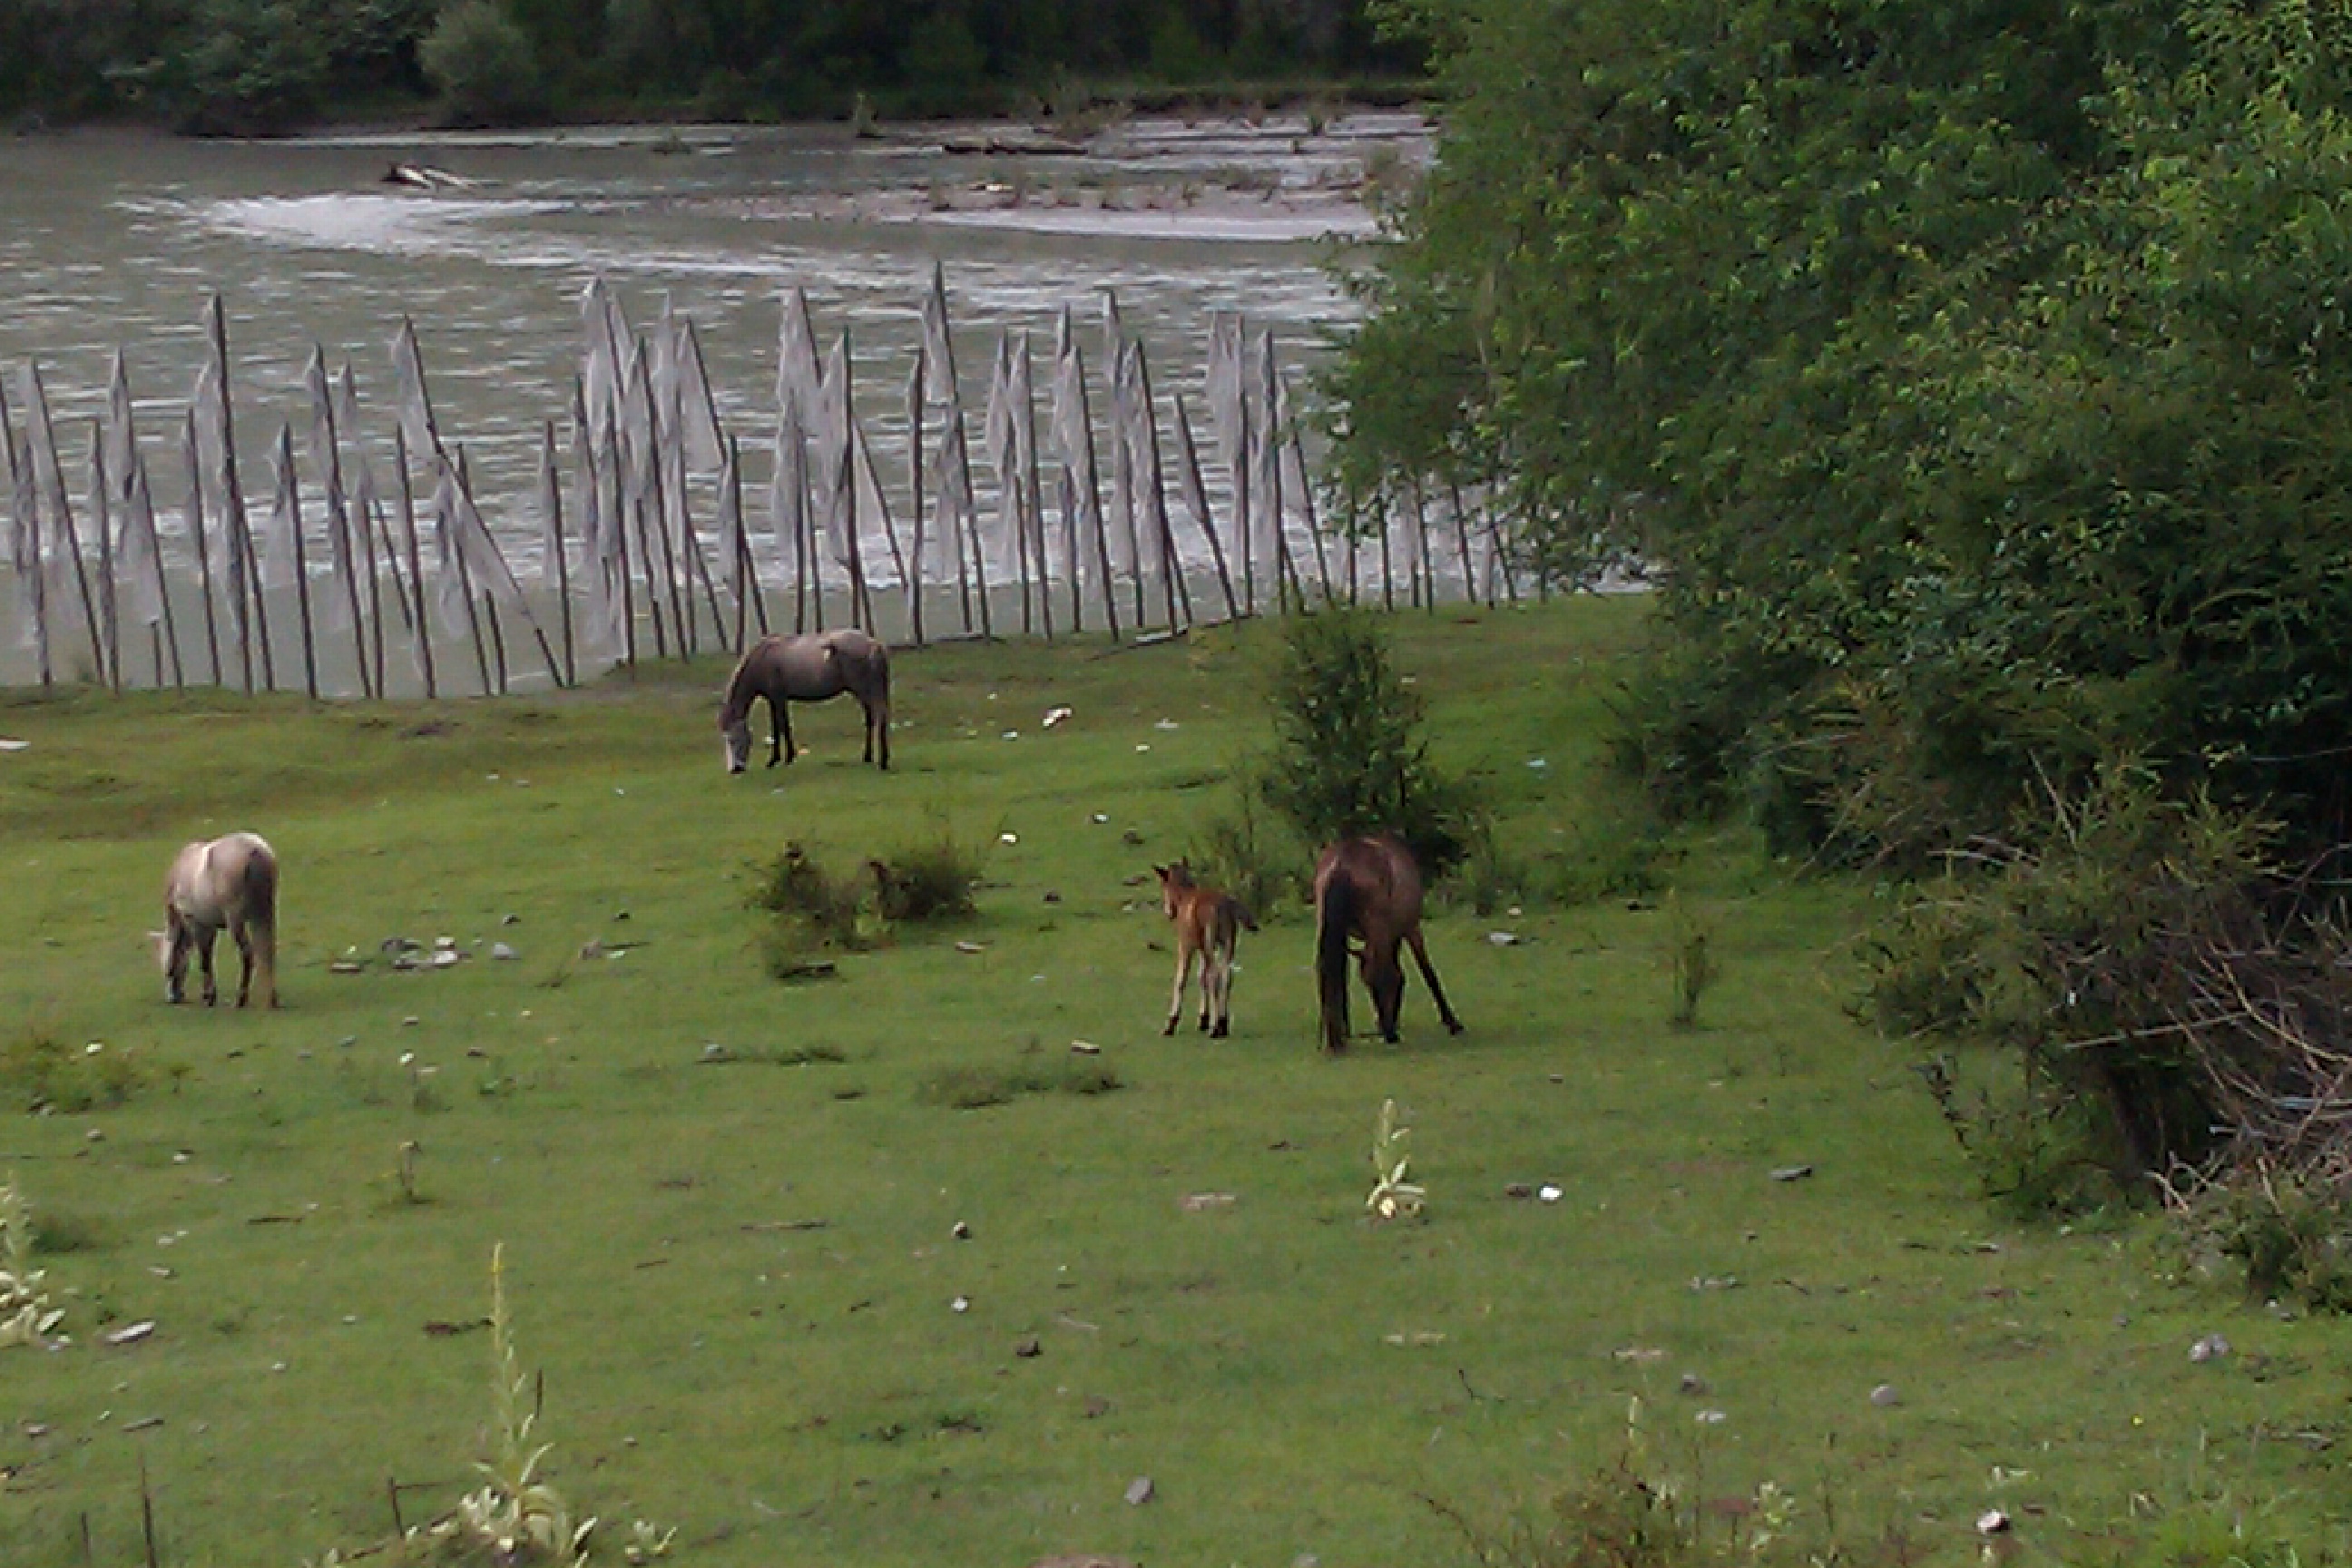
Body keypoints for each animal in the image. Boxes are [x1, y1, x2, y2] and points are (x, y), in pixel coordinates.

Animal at [156, 832, 279, 1005]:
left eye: (168, 971)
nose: (172, 998)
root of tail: (255, 850)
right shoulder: (209, 927)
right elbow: (208, 956)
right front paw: (209, 994)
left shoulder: (195, 922)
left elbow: (204, 959)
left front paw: (208, 996)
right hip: (265, 913)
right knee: (268, 950)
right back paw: (272, 998)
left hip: (235, 919)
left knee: (247, 954)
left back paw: (241, 998)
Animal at [714, 625, 888, 770]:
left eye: (732, 740)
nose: (735, 769)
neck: (763, 657)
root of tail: (873, 644)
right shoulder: (773, 700)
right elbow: (775, 727)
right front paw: (774, 759)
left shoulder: (779, 698)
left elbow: (783, 726)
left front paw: (787, 758)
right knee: (873, 719)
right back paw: (869, 757)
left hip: (865, 691)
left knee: (878, 717)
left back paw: (882, 761)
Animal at [1152, 865, 1260, 1034]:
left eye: (1163, 886)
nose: (1168, 913)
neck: (1184, 898)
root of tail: (1224, 906)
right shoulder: (1203, 948)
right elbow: (1201, 977)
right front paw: (1203, 1018)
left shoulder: (1186, 945)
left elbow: (1181, 979)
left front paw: (1171, 1023)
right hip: (1227, 943)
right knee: (1226, 976)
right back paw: (1222, 1023)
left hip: (1211, 943)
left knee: (1214, 976)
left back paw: (1215, 1028)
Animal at [1317, 832, 1458, 1053]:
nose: (1383, 1025)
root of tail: (1342, 863)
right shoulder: (1411, 928)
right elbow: (1427, 971)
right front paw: (1451, 1022)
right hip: (1379, 928)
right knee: (1382, 971)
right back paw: (1391, 1034)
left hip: (1328, 926)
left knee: (1329, 972)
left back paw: (1339, 1038)